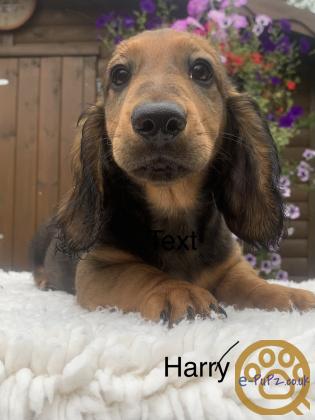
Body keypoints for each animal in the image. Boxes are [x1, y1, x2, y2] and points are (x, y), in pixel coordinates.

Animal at [30, 29, 315, 326]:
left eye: (201, 70)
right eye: (119, 75)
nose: (157, 119)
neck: (173, 203)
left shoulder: (230, 267)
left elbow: (252, 284)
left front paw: (288, 296)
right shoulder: (97, 269)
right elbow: (138, 273)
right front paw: (178, 291)